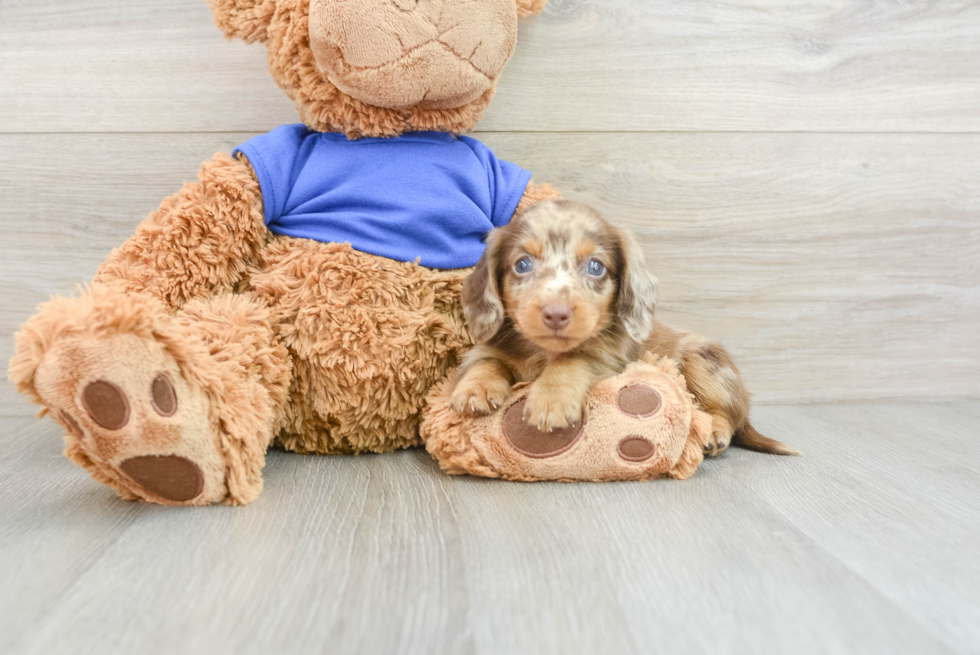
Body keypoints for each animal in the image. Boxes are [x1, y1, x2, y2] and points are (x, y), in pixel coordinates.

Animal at [456, 197, 800, 458]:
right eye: (522, 264)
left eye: (596, 267)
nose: (556, 314)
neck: (542, 351)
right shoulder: (490, 348)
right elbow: (488, 361)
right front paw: (476, 388)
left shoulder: (610, 361)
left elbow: (573, 360)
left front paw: (549, 400)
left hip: (703, 361)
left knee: (730, 415)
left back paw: (715, 430)